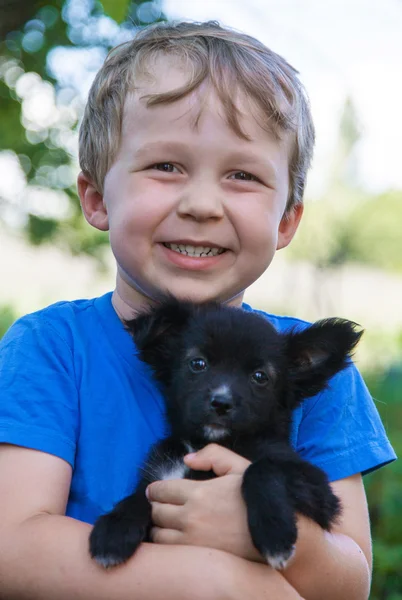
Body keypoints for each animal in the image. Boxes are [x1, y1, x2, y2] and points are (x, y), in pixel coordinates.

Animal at [88, 300, 362, 572]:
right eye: (197, 363)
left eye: (260, 377)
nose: (221, 403)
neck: (206, 443)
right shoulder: (161, 478)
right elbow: (140, 494)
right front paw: (114, 529)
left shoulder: (319, 494)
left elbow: (261, 468)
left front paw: (275, 533)